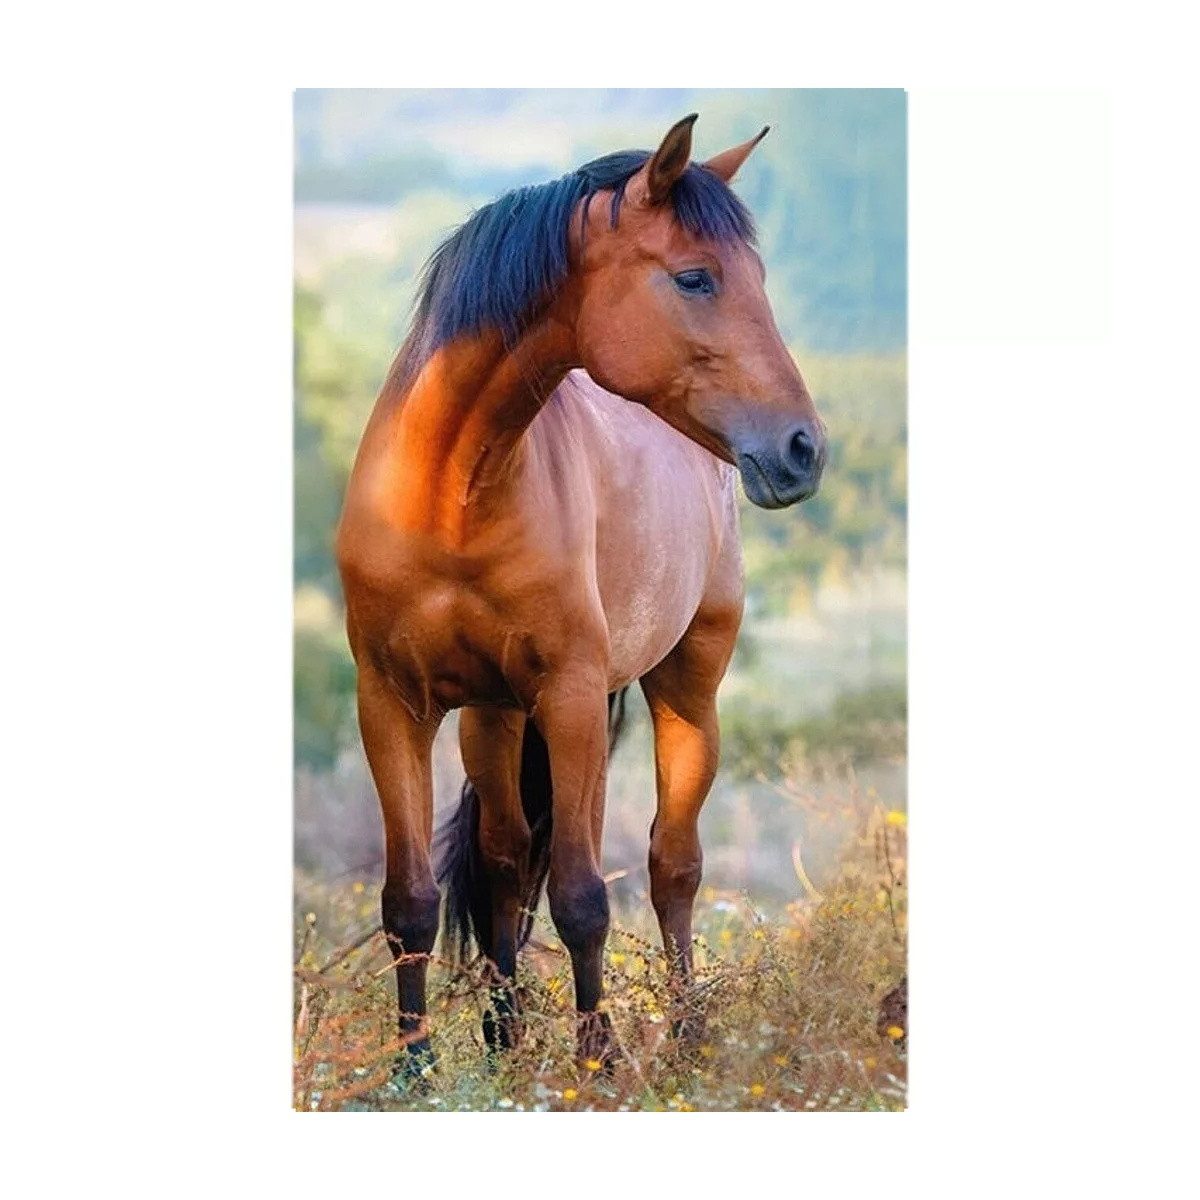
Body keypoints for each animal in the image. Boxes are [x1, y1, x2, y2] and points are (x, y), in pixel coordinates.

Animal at [336, 113, 827, 1076]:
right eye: (694, 276)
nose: (802, 449)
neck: (452, 496)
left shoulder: (568, 696)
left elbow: (583, 898)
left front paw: (595, 1061)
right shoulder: (392, 702)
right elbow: (410, 900)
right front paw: (414, 1071)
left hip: (684, 687)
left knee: (672, 865)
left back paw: (685, 1036)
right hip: (494, 718)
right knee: (501, 862)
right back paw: (503, 1041)